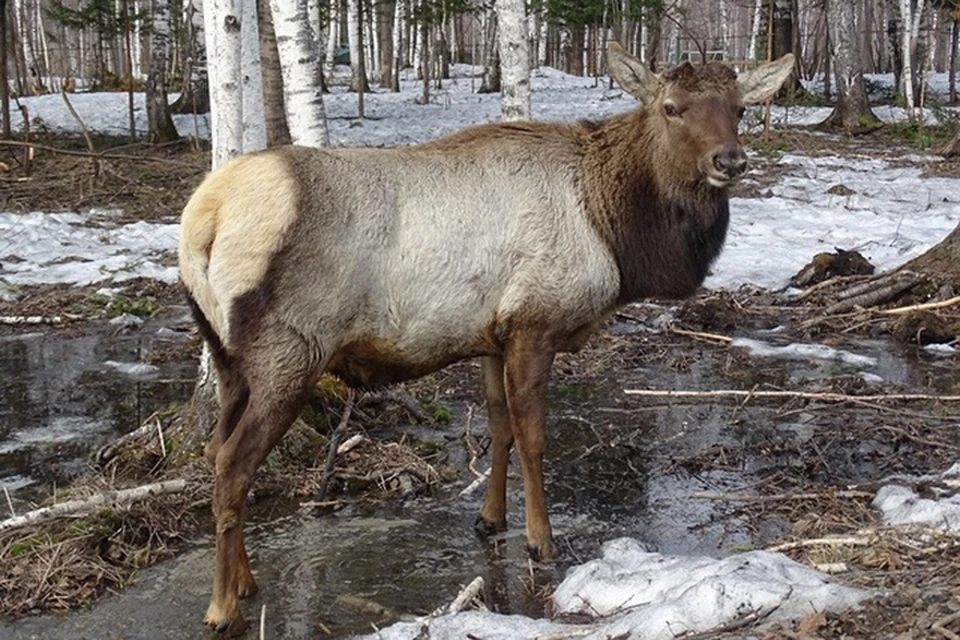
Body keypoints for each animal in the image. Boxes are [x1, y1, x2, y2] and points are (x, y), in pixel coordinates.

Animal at [180, 46, 796, 636]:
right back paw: (222, 607)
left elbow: (498, 428)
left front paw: (491, 518)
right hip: (290, 353)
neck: (614, 230)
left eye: (740, 109)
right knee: (232, 463)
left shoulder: (491, 337)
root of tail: (202, 221)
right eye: (671, 108)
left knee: (213, 449)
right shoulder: (535, 324)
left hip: (228, 359)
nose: (730, 161)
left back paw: (246, 581)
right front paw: (540, 540)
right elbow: (533, 437)